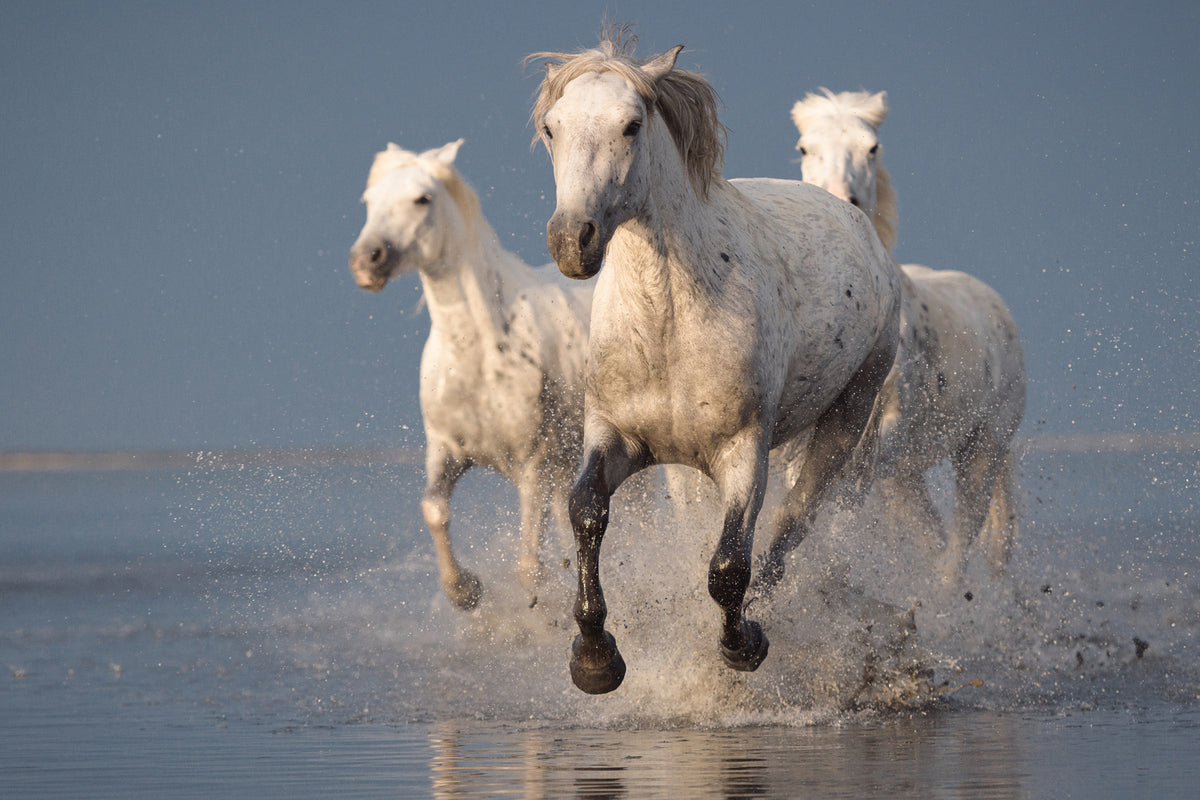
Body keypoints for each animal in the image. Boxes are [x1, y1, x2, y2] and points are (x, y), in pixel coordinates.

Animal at [345, 140, 592, 609]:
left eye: (422, 199)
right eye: (367, 201)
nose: (366, 261)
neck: (478, 355)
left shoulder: (535, 464)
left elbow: (530, 571)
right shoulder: (446, 449)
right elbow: (434, 509)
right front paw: (465, 590)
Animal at [528, 29, 902, 695]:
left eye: (631, 125)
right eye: (552, 126)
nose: (573, 240)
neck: (668, 326)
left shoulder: (743, 452)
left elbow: (728, 566)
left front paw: (743, 645)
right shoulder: (616, 437)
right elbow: (586, 512)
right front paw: (595, 659)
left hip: (848, 414)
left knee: (792, 524)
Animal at [792, 90, 1027, 585]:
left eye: (872, 147)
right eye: (805, 147)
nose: (843, 202)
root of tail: (997, 309)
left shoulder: (885, 432)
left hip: (981, 452)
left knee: (957, 551)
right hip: (909, 478)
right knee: (937, 540)